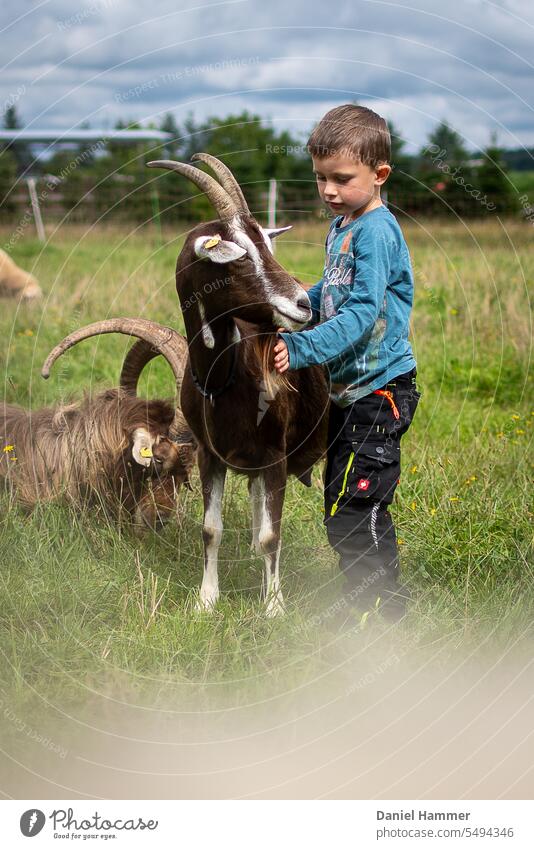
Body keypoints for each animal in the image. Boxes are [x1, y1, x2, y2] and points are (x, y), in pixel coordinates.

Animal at [148, 154, 330, 616]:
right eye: (240, 255)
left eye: (267, 243)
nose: (303, 304)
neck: (223, 380)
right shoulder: (209, 454)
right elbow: (210, 529)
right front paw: (205, 600)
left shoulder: (275, 455)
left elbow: (272, 535)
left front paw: (274, 606)